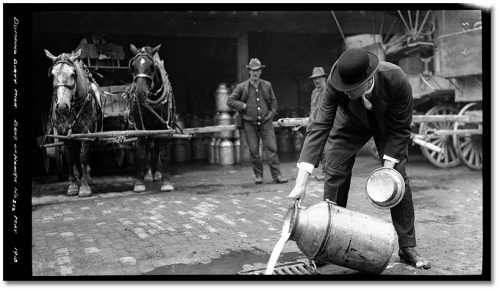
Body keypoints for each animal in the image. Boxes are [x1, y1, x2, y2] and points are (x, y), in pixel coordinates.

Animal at [45, 48, 103, 197]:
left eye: (73, 73)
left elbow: (83, 157)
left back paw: (86, 176)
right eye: (52, 74)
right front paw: (72, 185)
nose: (62, 106)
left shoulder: (86, 132)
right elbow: (70, 158)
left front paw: (84, 186)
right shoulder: (64, 133)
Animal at [127, 43, 178, 193]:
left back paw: (156, 173)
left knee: (155, 147)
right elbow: (141, 154)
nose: (140, 93)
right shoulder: (140, 127)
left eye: (151, 66)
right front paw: (139, 183)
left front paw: (167, 182)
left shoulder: (163, 126)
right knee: (149, 147)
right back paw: (149, 173)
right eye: (133, 66)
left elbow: (164, 153)